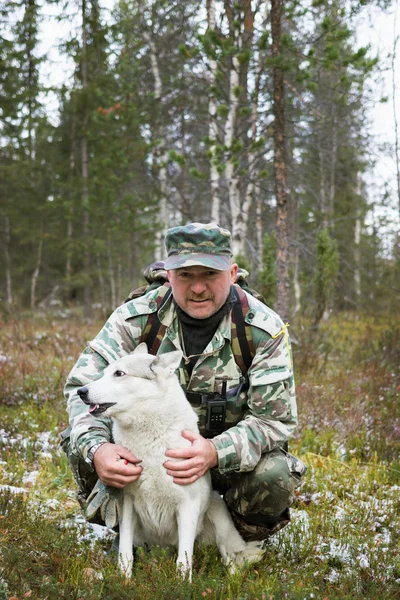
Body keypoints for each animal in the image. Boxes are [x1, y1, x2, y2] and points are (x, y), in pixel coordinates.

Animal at [78, 344, 264, 580]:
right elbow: (125, 552)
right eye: (105, 372)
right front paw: (123, 580)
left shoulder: (187, 506)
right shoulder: (127, 503)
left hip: (219, 519)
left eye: (119, 374)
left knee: (231, 558)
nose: (81, 391)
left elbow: (183, 560)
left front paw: (182, 584)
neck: (150, 439)